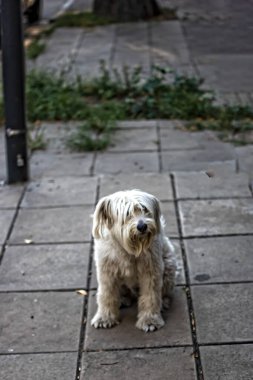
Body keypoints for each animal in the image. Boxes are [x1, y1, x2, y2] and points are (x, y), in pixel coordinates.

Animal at [91, 189, 176, 332]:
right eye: (127, 214)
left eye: (144, 209)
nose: (142, 226)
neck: (128, 249)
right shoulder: (107, 273)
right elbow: (106, 295)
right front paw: (104, 318)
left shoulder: (151, 272)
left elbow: (151, 296)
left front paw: (150, 319)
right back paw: (123, 299)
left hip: (169, 266)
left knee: (163, 292)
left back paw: (163, 302)